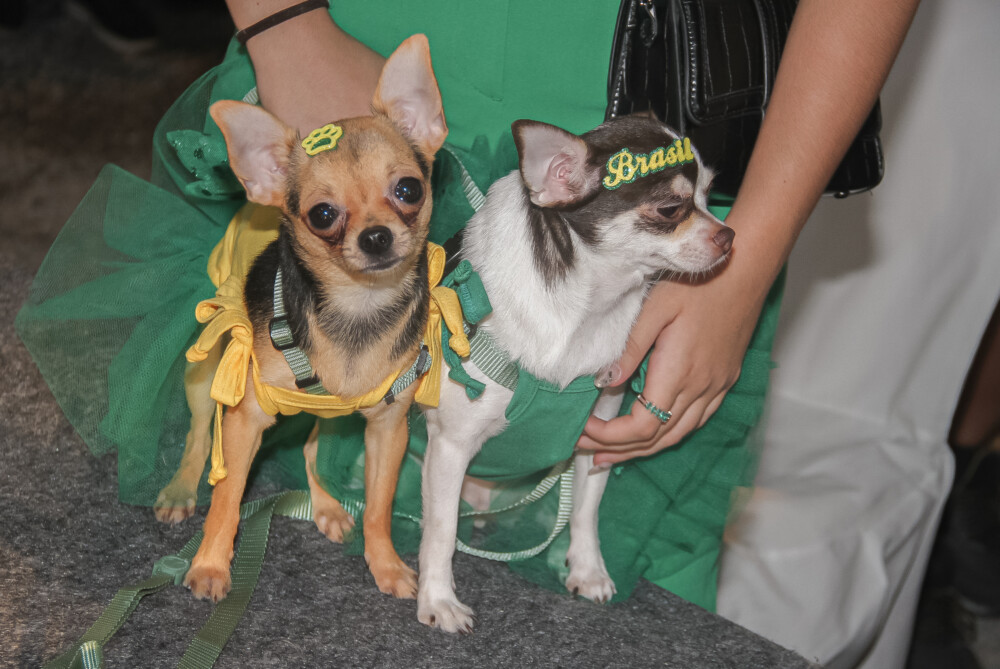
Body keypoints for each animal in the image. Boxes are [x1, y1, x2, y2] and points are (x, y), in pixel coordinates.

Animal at [151, 34, 448, 602]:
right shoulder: (245, 418)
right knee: (199, 435)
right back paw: (179, 489)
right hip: (209, 367)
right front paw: (211, 566)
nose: (376, 236)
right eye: (323, 215)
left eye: (408, 189)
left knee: (313, 446)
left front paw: (384, 564)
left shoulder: (388, 429)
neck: (357, 311)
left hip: (322, 412)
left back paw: (326, 504)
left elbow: (379, 506)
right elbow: (227, 499)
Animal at [416, 115, 734, 632]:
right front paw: (439, 599)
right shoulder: (450, 445)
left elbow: (586, 508)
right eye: (671, 209)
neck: (586, 309)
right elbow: (441, 532)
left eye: (710, 195)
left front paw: (587, 567)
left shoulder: (595, 435)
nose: (730, 236)